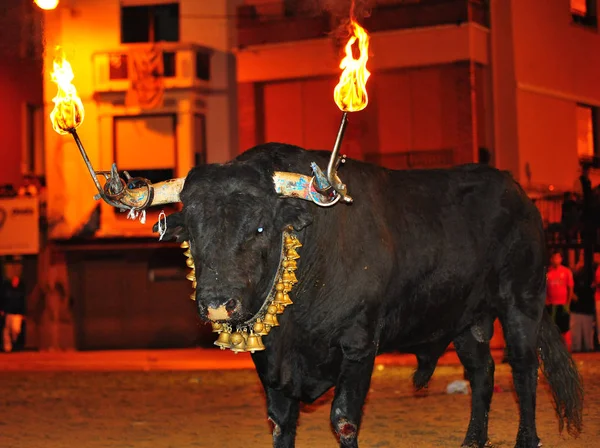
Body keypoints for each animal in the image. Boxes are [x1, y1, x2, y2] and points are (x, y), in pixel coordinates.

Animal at [154, 144, 580, 448]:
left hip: (522, 300)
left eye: (259, 228)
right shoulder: (270, 360)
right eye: (190, 231)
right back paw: (473, 440)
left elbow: (343, 419)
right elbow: (280, 423)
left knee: (524, 369)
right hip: (465, 320)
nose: (217, 303)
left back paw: (526, 440)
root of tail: (518, 193)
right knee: (482, 372)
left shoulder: (359, 345)